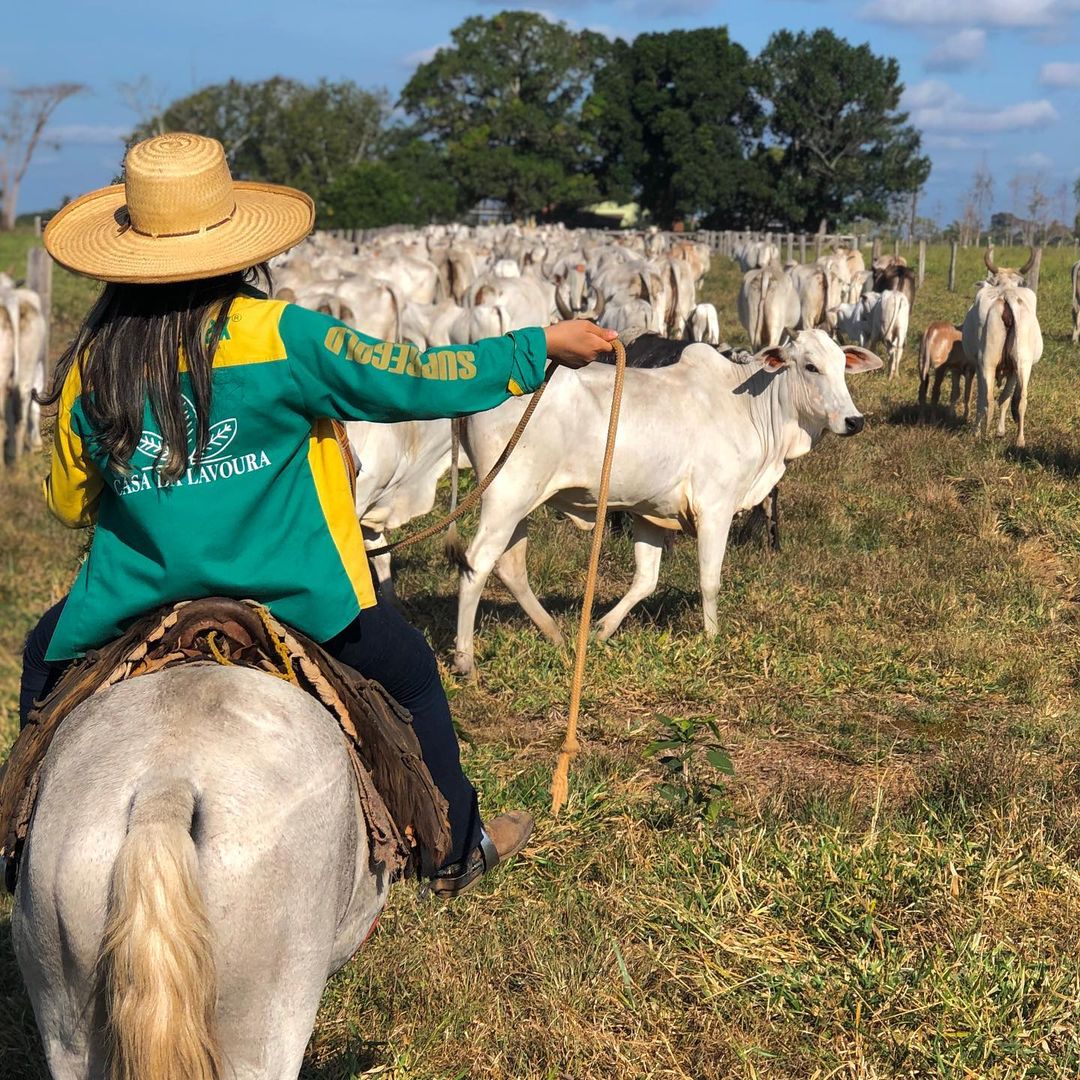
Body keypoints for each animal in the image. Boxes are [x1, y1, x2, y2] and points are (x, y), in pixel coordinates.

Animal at [451, 332, 881, 678]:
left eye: (843, 366)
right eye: (810, 366)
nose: (854, 420)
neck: (749, 409)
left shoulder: (651, 513)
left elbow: (646, 579)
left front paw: (601, 630)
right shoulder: (715, 509)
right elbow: (709, 580)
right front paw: (712, 638)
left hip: (519, 503)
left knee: (510, 566)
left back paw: (554, 634)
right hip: (506, 495)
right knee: (478, 563)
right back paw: (465, 660)